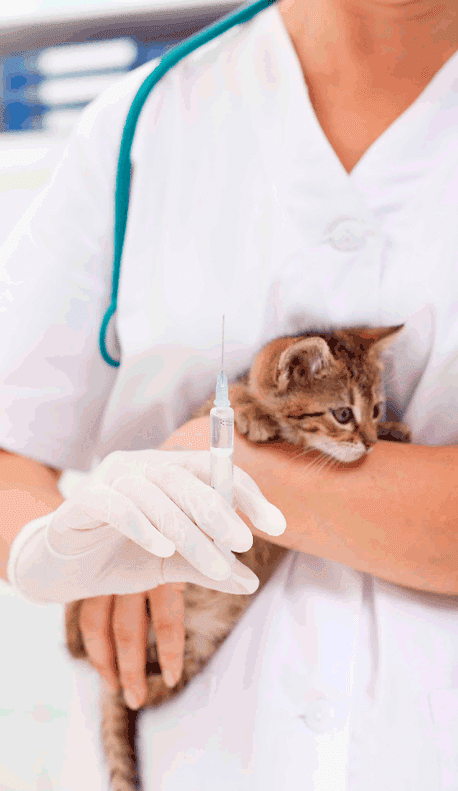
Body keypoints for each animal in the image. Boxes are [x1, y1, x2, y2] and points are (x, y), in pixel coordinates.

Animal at [63, 324, 408, 788]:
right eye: (342, 414)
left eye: (375, 408)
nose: (370, 443)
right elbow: (239, 398)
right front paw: (253, 412)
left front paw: (395, 431)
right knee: (80, 637)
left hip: (196, 648)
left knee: (147, 692)